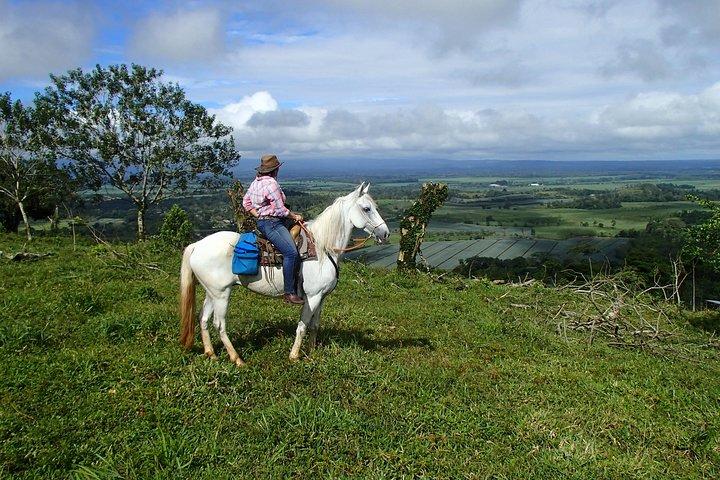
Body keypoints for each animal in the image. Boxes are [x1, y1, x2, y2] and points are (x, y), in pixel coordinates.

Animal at [179, 182, 390, 366]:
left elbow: (314, 325)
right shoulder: (312, 297)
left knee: (203, 319)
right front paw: (295, 356)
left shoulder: (322, 297)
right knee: (219, 324)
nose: (385, 234)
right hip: (222, 294)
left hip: (212, 292)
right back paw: (237, 359)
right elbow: (303, 326)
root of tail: (196, 245)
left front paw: (312, 352)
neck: (323, 249)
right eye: (366, 208)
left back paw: (211, 354)